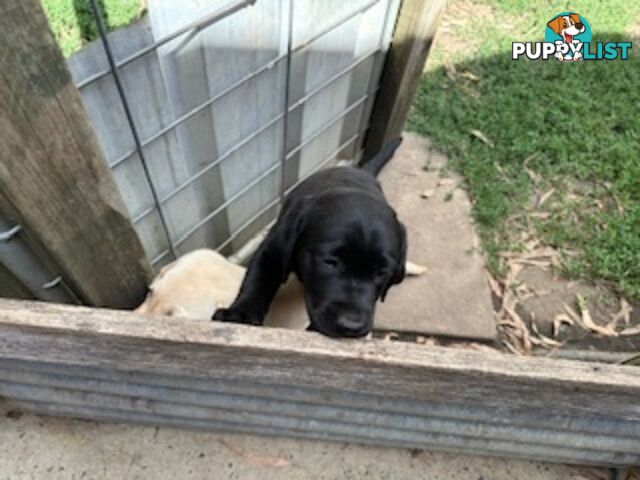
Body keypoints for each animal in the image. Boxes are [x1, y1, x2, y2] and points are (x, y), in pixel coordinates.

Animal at [214, 139, 404, 338]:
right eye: (329, 262)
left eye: (381, 273)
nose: (351, 326)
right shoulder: (273, 248)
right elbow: (258, 278)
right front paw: (240, 315)